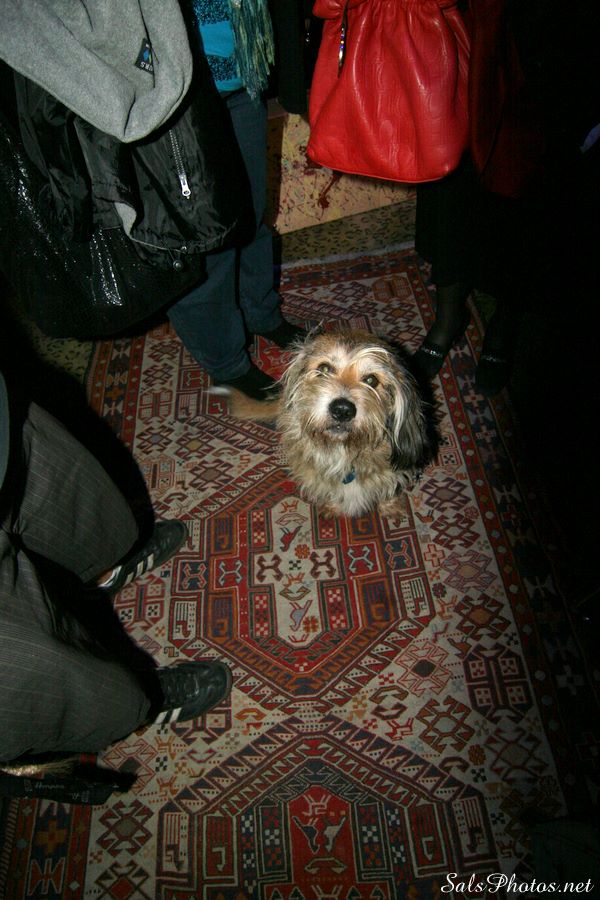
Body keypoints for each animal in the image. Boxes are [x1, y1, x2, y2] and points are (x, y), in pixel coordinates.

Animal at [216, 330, 431, 517]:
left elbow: (389, 491)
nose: (342, 410)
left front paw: (390, 508)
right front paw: (332, 507)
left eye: (371, 380)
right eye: (324, 369)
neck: (344, 451)